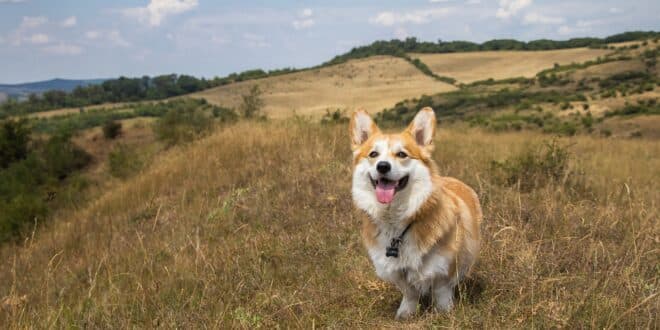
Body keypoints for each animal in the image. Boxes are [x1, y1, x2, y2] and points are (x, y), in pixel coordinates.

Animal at [348, 107, 482, 318]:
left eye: (402, 154)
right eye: (373, 154)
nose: (382, 166)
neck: (396, 223)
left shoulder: (444, 270)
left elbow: (442, 293)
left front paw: (444, 314)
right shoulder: (397, 271)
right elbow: (409, 293)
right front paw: (405, 314)